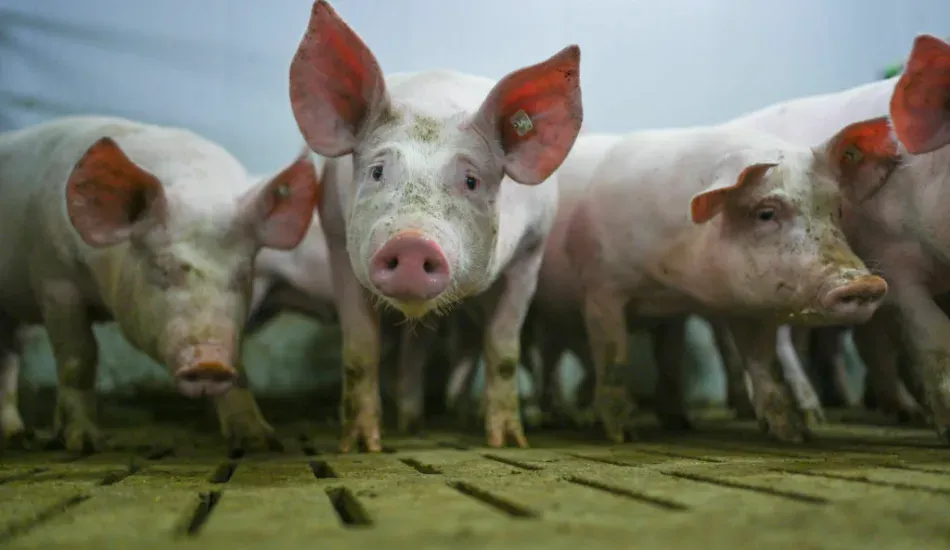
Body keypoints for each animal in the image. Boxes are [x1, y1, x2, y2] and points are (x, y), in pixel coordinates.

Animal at [0, 116, 318, 452]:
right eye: (163, 268)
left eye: (243, 273)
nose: (210, 363)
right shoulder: (53, 276)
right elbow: (78, 358)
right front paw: (84, 444)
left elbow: (240, 367)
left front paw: (259, 441)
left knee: (8, 355)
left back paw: (17, 435)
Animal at [288, 0, 582, 450]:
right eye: (377, 171)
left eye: (471, 181)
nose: (412, 242)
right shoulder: (337, 236)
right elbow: (359, 348)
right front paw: (361, 446)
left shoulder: (531, 252)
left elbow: (503, 350)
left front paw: (508, 441)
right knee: (416, 347)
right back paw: (409, 425)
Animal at [564, 119, 896, 443]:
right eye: (765, 213)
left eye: (837, 209)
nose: (863, 284)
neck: (675, 282)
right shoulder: (601, 288)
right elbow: (613, 356)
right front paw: (624, 436)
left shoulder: (730, 305)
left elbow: (761, 363)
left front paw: (793, 435)